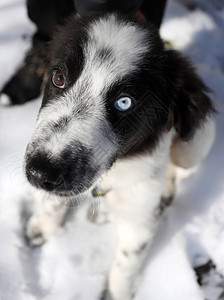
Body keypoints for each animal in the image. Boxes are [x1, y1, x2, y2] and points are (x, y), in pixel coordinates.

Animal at [24, 14, 215, 300]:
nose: (40, 173)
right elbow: (53, 201)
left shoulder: (139, 220)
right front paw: (43, 227)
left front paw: (116, 293)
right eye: (58, 77)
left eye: (124, 102)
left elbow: (126, 264)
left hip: (196, 143)